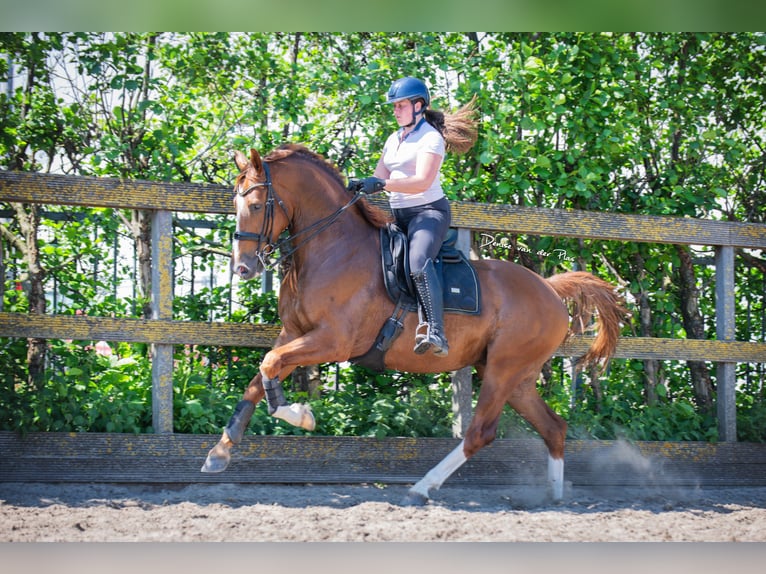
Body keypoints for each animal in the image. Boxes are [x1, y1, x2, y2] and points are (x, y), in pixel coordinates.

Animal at [201, 145, 628, 508]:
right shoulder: (293, 332)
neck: (333, 250)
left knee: (480, 432)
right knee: (553, 427)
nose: (243, 268)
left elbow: (270, 364)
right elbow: (260, 377)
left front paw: (297, 414)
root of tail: (550, 289)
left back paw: (422, 487)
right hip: (514, 376)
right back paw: (554, 495)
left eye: (256, 204)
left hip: (504, 370)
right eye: (235, 202)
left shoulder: (333, 341)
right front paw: (220, 451)